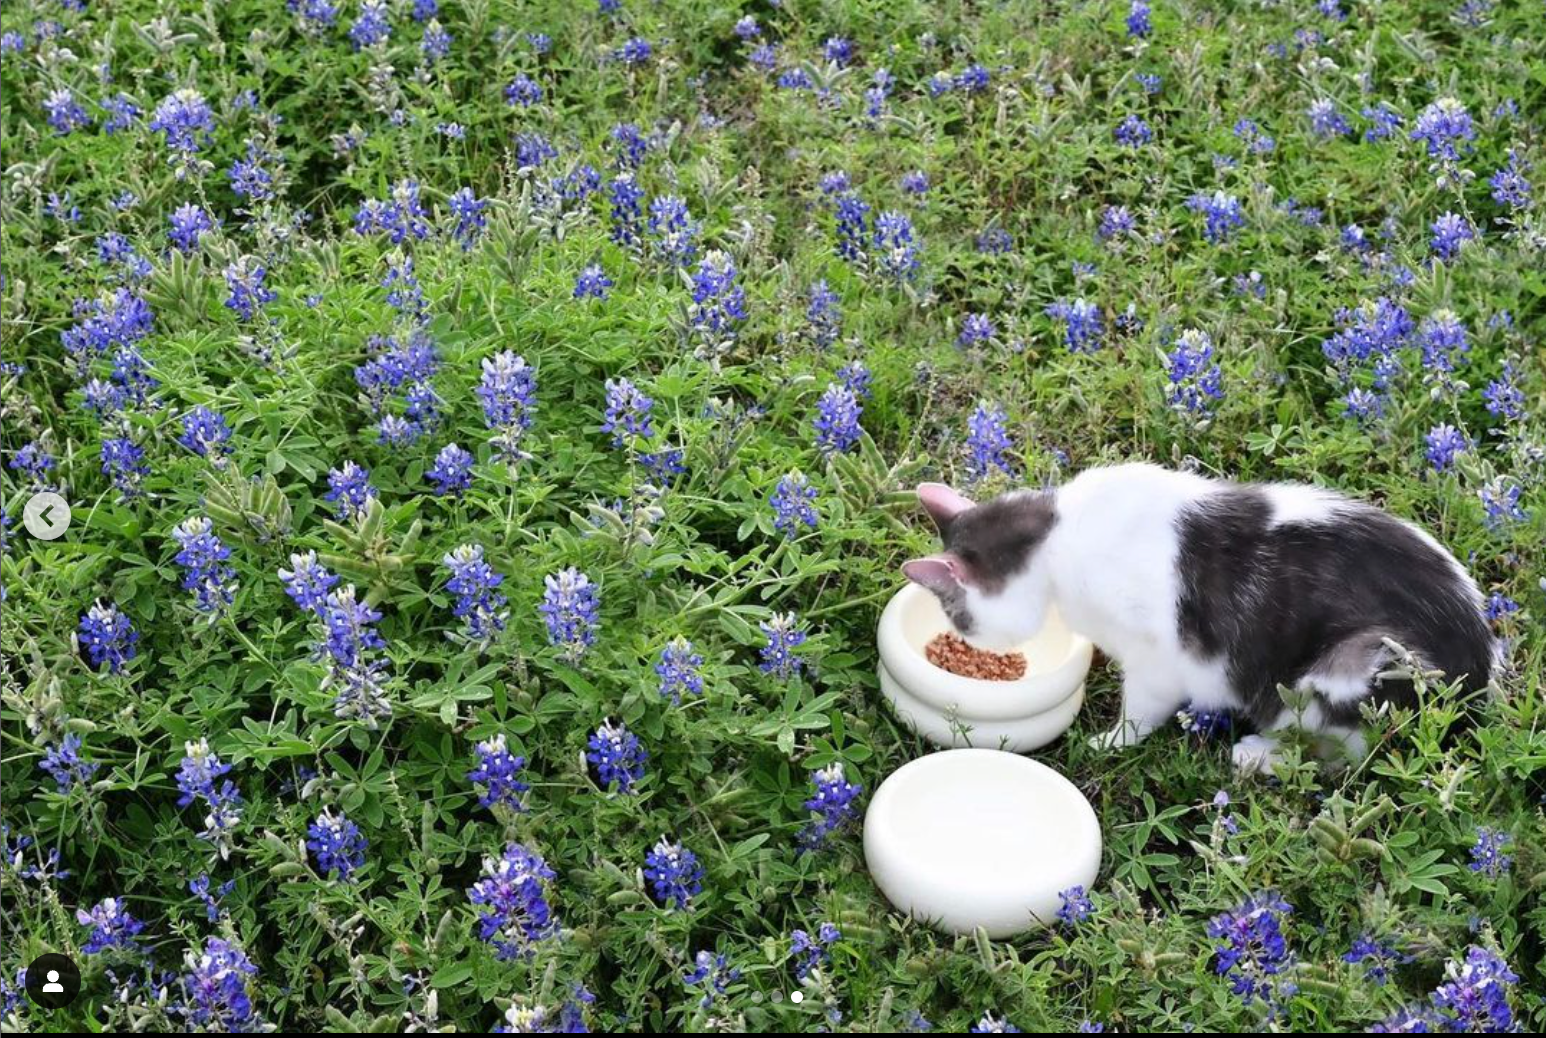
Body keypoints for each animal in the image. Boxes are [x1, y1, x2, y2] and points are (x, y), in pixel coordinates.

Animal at [902, 464, 1496, 770]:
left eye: (958, 618)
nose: (968, 641)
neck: (1054, 532)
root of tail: (1476, 692)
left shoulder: (1154, 662)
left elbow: (1139, 714)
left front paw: (1107, 742)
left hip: (1351, 664)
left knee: (1339, 756)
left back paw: (1257, 755)